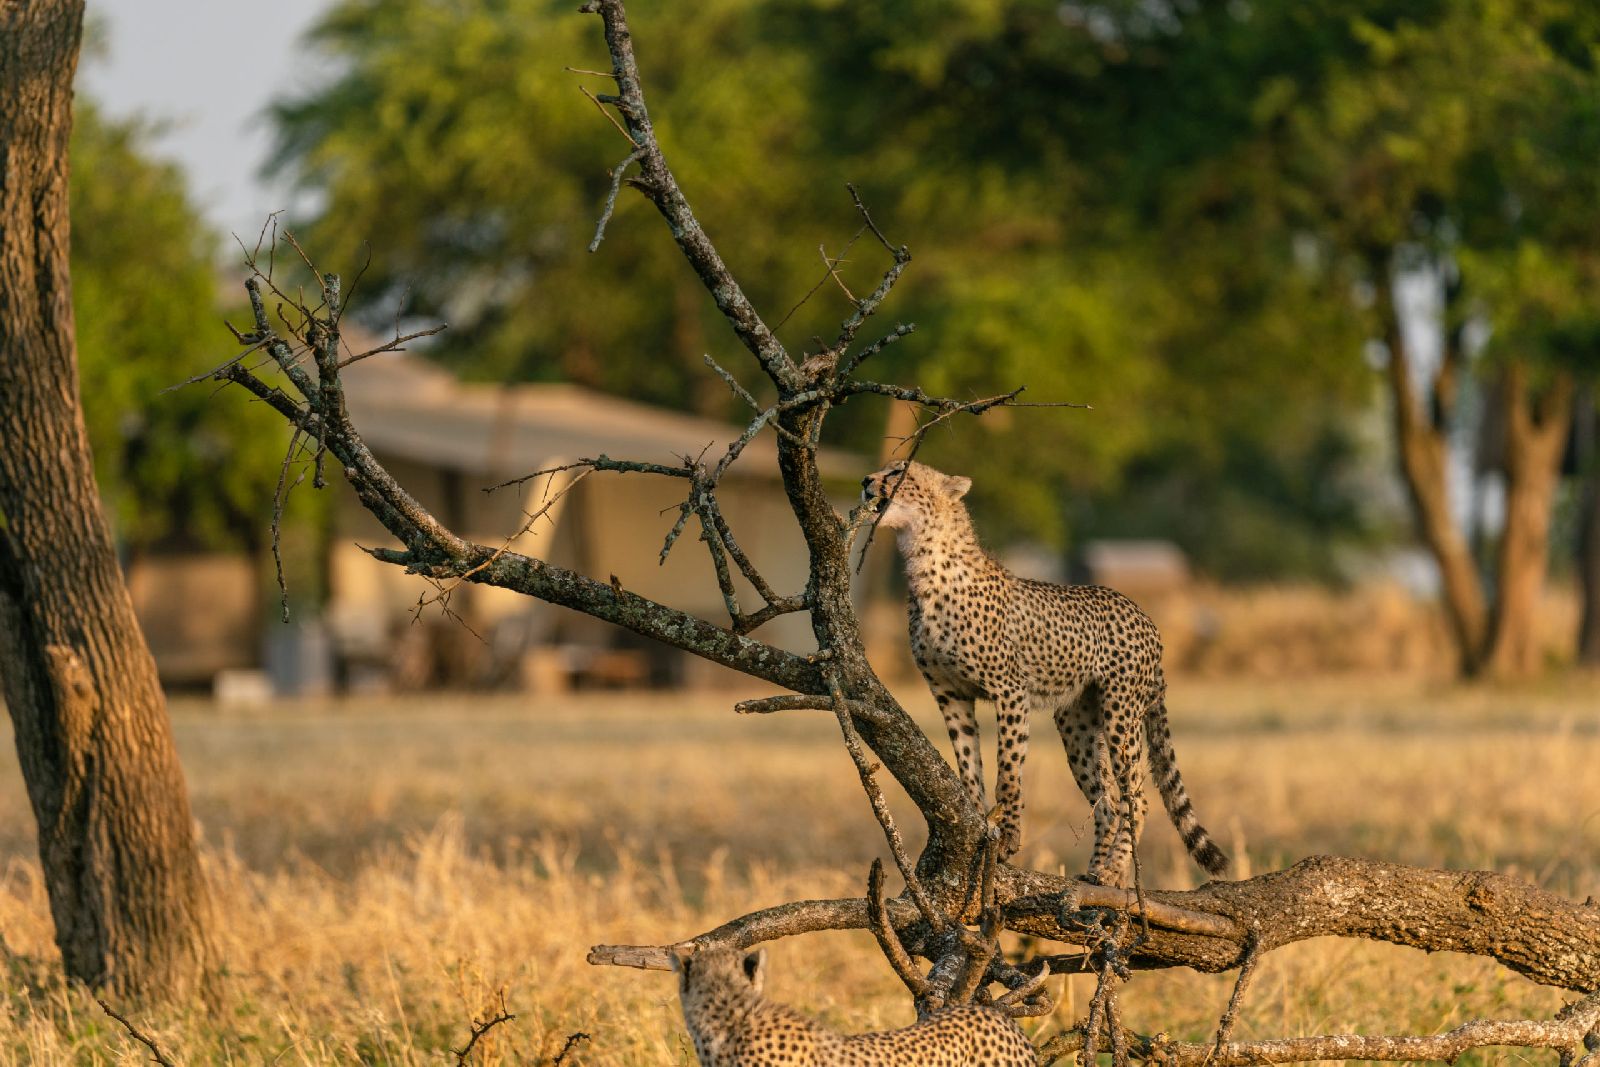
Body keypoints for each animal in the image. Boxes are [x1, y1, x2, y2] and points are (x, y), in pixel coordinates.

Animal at [861, 459, 1228, 886]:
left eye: (898, 472)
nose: (866, 481)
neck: (925, 563)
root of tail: (1146, 617)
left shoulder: (1010, 691)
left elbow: (1007, 771)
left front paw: (1008, 838)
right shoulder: (950, 693)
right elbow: (969, 766)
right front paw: (978, 823)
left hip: (1120, 713)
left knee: (1136, 797)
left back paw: (1112, 870)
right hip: (1076, 724)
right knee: (1107, 799)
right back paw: (1099, 871)